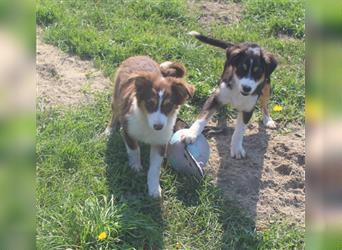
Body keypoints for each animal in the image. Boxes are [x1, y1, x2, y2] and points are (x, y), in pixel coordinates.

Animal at [104, 56, 195, 197]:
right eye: (150, 104)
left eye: (168, 106)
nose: (158, 127)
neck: (147, 124)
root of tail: (139, 56)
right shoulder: (128, 130)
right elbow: (134, 150)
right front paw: (135, 167)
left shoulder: (161, 142)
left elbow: (155, 168)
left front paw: (154, 189)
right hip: (117, 97)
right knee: (115, 112)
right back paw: (110, 130)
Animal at [183, 31, 276, 159]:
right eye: (241, 69)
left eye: (258, 73)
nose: (246, 88)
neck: (238, 91)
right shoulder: (215, 99)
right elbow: (202, 118)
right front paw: (191, 134)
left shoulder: (248, 109)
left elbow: (239, 130)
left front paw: (236, 149)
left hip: (267, 85)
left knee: (264, 104)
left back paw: (267, 119)